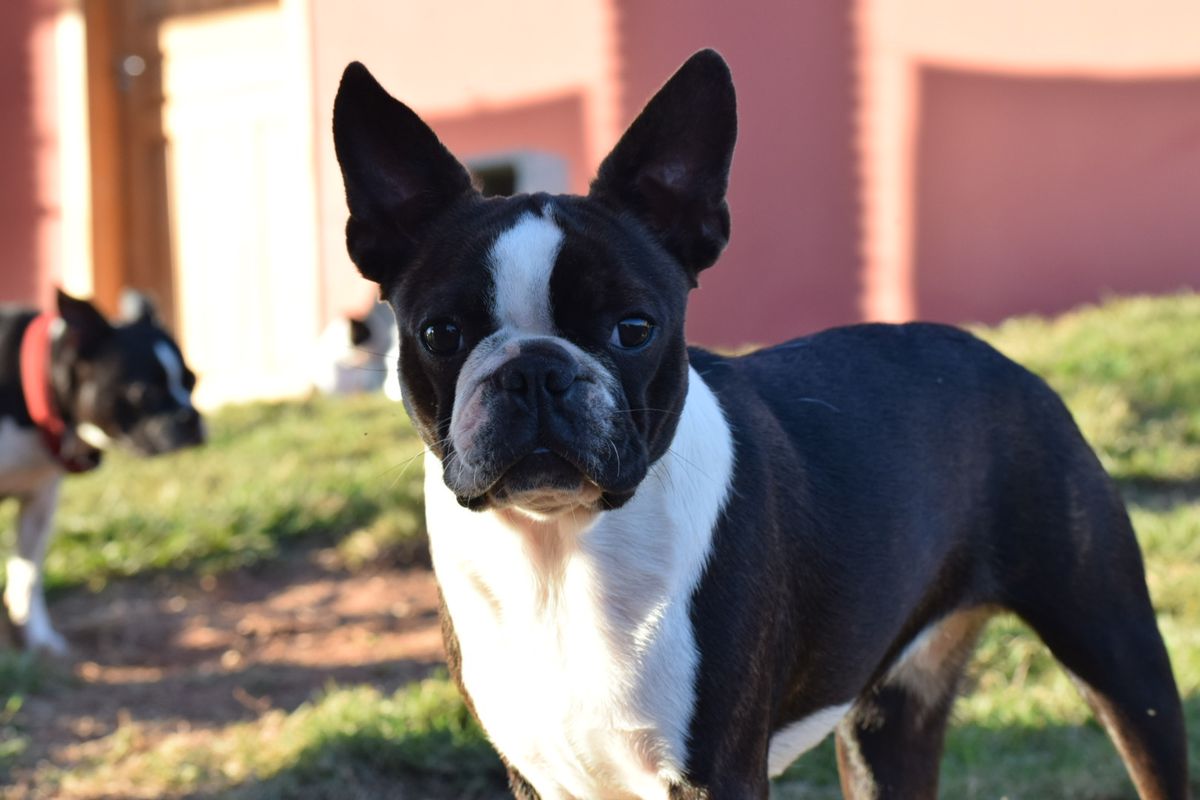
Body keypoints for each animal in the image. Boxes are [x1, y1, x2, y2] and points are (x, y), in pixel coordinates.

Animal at [0, 291, 204, 652]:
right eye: (145, 392)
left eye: (191, 381)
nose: (191, 418)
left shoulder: (40, 502)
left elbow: (29, 574)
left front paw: (40, 639)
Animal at [333, 51, 1185, 800]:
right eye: (440, 334)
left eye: (634, 328)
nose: (535, 368)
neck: (560, 551)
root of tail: (995, 355)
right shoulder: (537, 774)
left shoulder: (718, 770)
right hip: (888, 719)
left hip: (1118, 650)